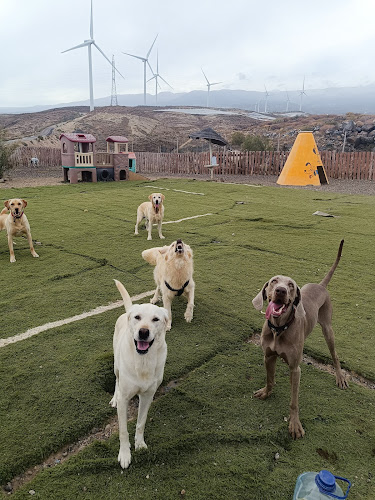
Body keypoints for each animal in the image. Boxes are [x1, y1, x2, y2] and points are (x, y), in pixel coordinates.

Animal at [110, 280, 169, 470]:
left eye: (156, 319)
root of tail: (127, 311)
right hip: (116, 364)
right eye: (137, 317)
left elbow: (140, 423)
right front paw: (124, 454)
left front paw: (140, 444)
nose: (143, 332)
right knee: (116, 379)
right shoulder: (124, 400)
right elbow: (122, 430)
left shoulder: (148, 396)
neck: (143, 361)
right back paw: (113, 397)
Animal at [253, 240, 350, 440]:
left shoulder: (295, 369)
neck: (279, 329)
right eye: (274, 281)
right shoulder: (268, 356)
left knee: (335, 355)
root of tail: (321, 285)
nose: (280, 290)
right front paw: (266, 392)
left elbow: (294, 401)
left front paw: (295, 425)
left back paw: (340, 377)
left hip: (328, 328)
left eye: (290, 284)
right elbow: (269, 379)